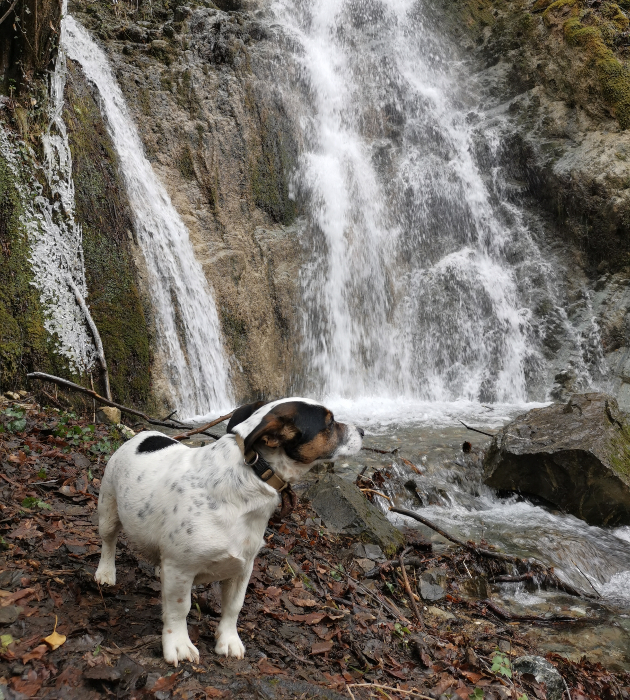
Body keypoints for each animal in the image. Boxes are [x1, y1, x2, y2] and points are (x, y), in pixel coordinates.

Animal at [94, 400, 366, 668]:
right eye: (329, 423)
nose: (363, 431)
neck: (251, 478)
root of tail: (143, 435)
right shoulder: (181, 568)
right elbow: (179, 609)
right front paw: (179, 644)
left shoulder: (242, 568)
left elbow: (234, 607)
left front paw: (228, 640)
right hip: (108, 509)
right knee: (109, 542)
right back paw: (105, 573)